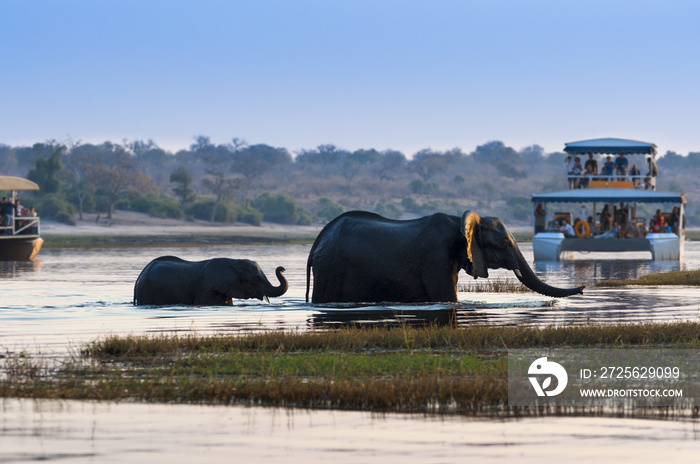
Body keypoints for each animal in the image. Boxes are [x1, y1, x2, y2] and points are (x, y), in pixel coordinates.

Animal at [306, 211, 584, 304]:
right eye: (504, 243)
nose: (583, 288)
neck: (460, 223)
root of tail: (318, 241)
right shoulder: (435, 258)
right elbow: (448, 298)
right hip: (331, 267)